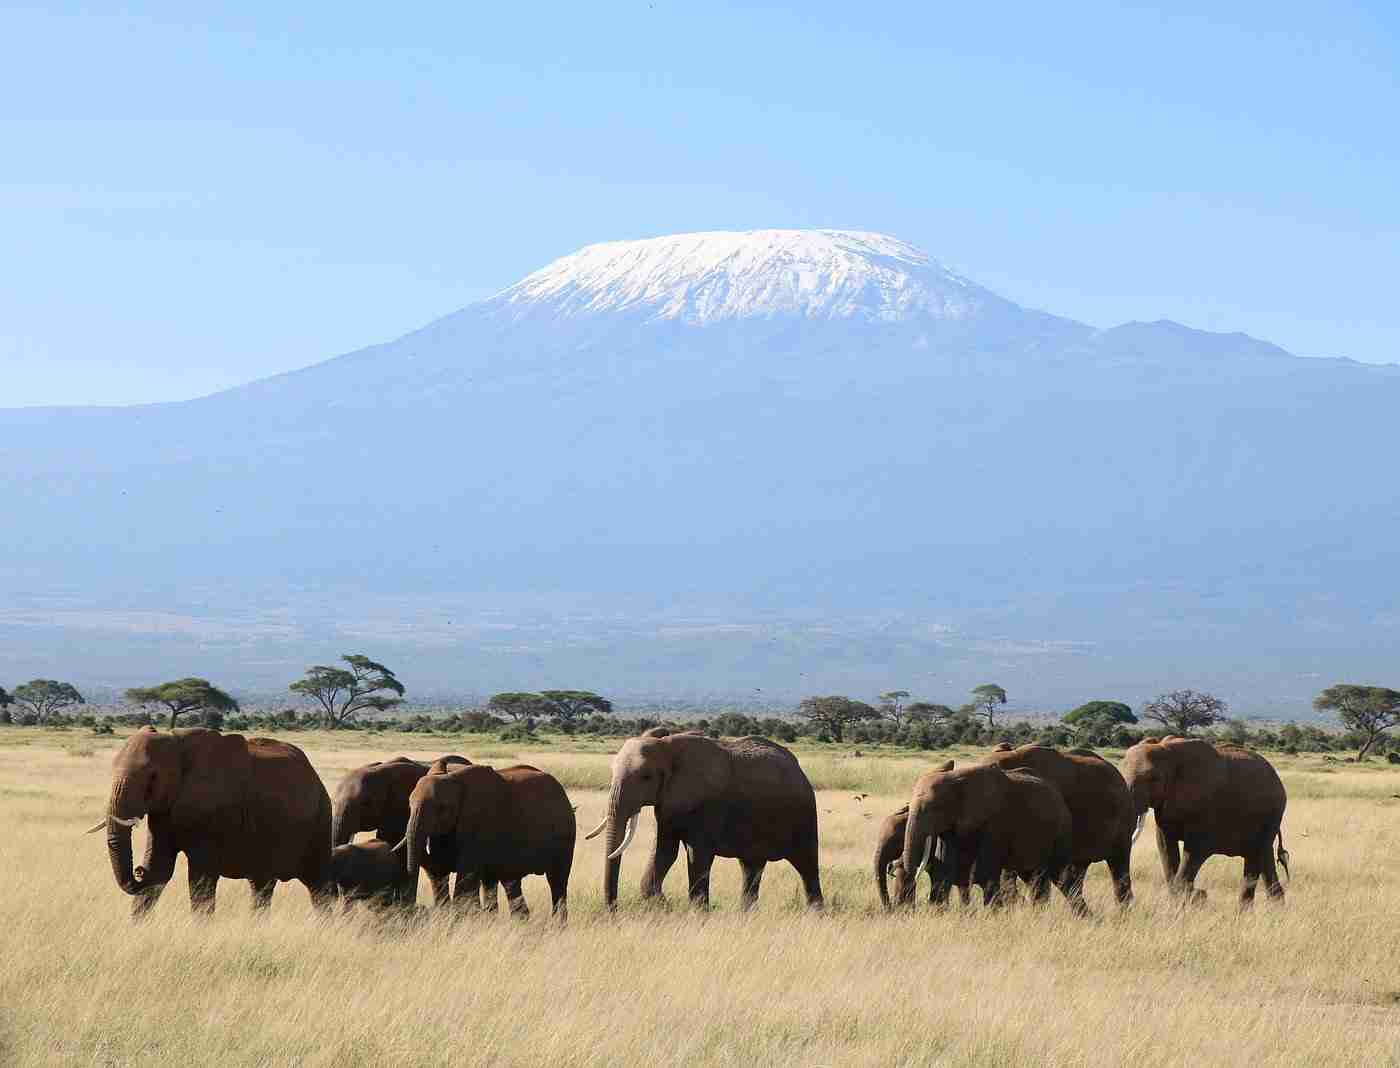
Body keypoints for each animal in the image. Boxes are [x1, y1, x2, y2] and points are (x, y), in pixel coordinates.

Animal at [86, 726, 332, 917]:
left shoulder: (211, 809)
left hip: (320, 818)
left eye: (152, 778)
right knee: (262, 885)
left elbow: (201, 877)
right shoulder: (165, 810)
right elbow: (160, 867)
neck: (176, 743)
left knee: (318, 885)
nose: (138, 871)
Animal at [404, 764, 575, 922]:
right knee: (506, 882)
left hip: (565, 836)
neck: (453, 779)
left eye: (442, 808)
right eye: (409, 804)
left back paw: (556, 925)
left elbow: (465, 879)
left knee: (557, 881)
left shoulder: (479, 823)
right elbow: (440, 870)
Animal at [586, 732, 823, 911]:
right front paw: (664, 905)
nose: (613, 911)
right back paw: (747, 914)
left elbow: (697, 854)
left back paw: (815, 913)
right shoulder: (667, 804)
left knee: (807, 865)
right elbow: (665, 852)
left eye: (646, 777)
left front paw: (697, 913)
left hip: (804, 813)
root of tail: (799, 768)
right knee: (751, 867)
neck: (666, 747)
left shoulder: (707, 803)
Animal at [894, 762, 1088, 916]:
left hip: (1061, 831)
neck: (956, 779)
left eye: (933, 808)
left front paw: (993, 914)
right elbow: (946, 867)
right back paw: (1040, 914)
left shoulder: (997, 822)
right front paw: (939, 911)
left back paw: (1083, 917)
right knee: (1034, 878)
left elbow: (987, 869)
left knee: (1061, 875)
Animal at [1121, 736, 1289, 907]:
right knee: (1264, 857)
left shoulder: (1207, 807)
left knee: (1256, 855)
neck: (1168, 751)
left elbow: (1196, 849)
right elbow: (1165, 846)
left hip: (1271, 815)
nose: (1202, 892)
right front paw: (1187, 899)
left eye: (1153, 778)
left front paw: (1194, 897)